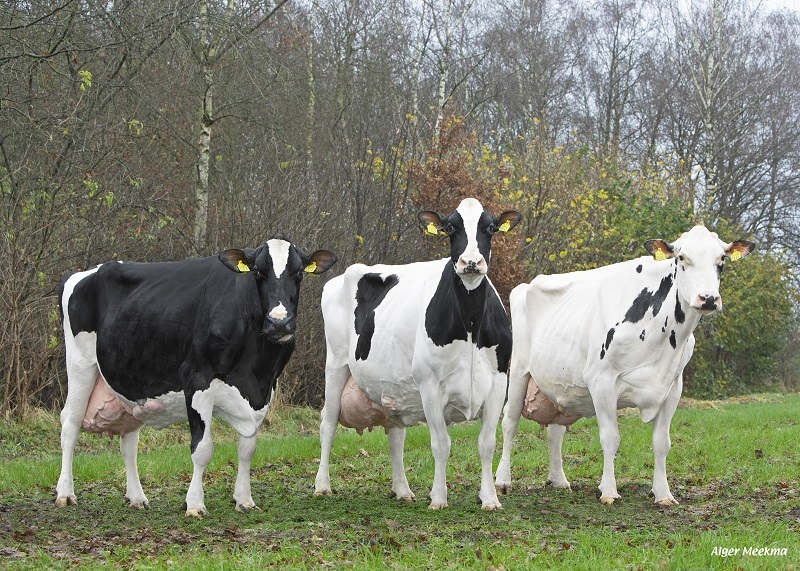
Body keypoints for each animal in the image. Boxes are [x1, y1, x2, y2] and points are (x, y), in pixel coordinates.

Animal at [310, 199, 520, 512]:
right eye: (450, 228)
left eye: (491, 227)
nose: (471, 262)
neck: (470, 324)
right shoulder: (430, 384)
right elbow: (441, 444)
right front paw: (439, 498)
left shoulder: (497, 382)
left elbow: (486, 444)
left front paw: (490, 498)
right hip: (335, 363)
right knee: (328, 423)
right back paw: (322, 485)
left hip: (392, 386)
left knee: (396, 437)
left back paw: (402, 490)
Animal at [494, 227, 756, 504]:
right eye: (682, 257)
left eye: (721, 260)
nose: (708, 298)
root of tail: (526, 284)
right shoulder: (601, 380)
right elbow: (610, 438)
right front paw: (609, 491)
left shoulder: (673, 386)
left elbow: (662, 442)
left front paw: (663, 494)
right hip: (518, 371)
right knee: (509, 422)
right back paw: (502, 480)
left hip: (557, 385)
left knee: (555, 431)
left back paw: (559, 480)